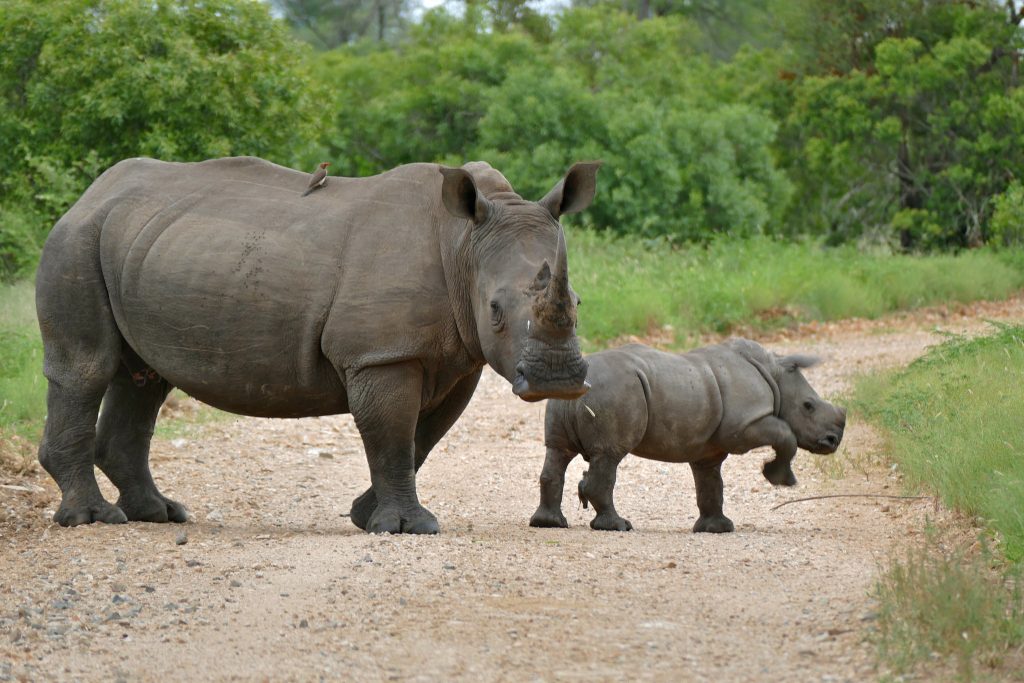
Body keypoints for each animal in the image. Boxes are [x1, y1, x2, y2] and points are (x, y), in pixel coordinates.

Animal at [532, 339, 843, 532]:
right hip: (615, 390)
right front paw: (780, 479)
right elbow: (785, 434)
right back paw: (619, 526)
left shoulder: (708, 450)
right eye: (808, 406)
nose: (832, 441)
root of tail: (581, 383)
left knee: (557, 453)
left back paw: (549, 523)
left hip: (565, 397)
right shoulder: (744, 424)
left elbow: (711, 484)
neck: (775, 374)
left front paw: (718, 529)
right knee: (608, 456)